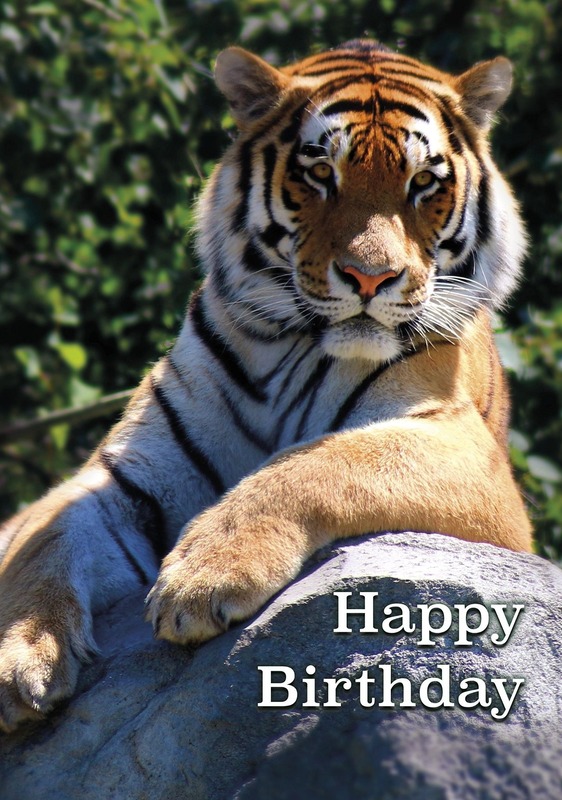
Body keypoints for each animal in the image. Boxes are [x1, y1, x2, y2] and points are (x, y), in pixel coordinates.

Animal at [0, 39, 532, 732]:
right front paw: (22, 658)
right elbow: (45, 541)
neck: (290, 347)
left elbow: (325, 462)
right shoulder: (125, 478)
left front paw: (203, 578)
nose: (370, 278)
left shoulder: (466, 451)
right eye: (320, 174)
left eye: (423, 183)